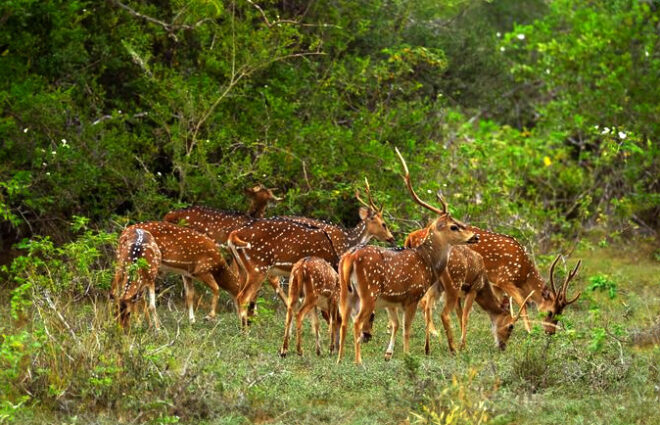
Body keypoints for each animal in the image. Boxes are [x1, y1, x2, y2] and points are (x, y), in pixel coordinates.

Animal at [109, 220, 241, 326]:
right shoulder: (202, 270)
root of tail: (124, 232)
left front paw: (192, 320)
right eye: (242, 295)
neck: (218, 266)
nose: (242, 317)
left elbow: (190, 295)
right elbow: (216, 288)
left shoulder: (187, 273)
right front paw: (208, 316)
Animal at [228, 181, 392, 326]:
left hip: (245, 268)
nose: (391, 238)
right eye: (383, 224)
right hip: (258, 267)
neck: (348, 241)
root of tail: (233, 234)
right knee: (245, 296)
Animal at [336, 147, 480, 362]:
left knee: (344, 321)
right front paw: (407, 356)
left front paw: (389, 354)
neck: (427, 263)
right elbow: (407, 327)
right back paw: (358, 361)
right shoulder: (412, 294)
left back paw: (339, 360)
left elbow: (396, 325)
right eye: (454, 226)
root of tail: (349, 258)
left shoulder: (392, 300)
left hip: (347, 292)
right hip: (369, 290)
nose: (475, 236)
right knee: (356, 322)